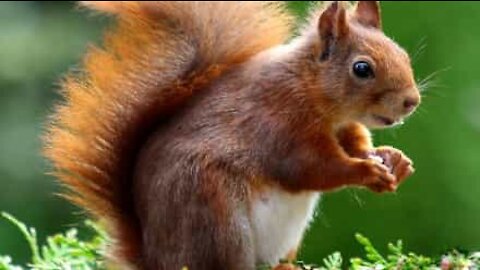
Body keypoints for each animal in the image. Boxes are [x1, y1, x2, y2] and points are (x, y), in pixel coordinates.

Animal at [44, 1, 420, 268]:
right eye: (362, 68)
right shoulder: (278, 124)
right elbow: (311, 168)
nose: (411, 101)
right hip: (217, 219)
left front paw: (393, 160)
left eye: (402, 53)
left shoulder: (344, 128)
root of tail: (154, 258)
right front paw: (366, 171)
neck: (312, 91)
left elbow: (356, 144)